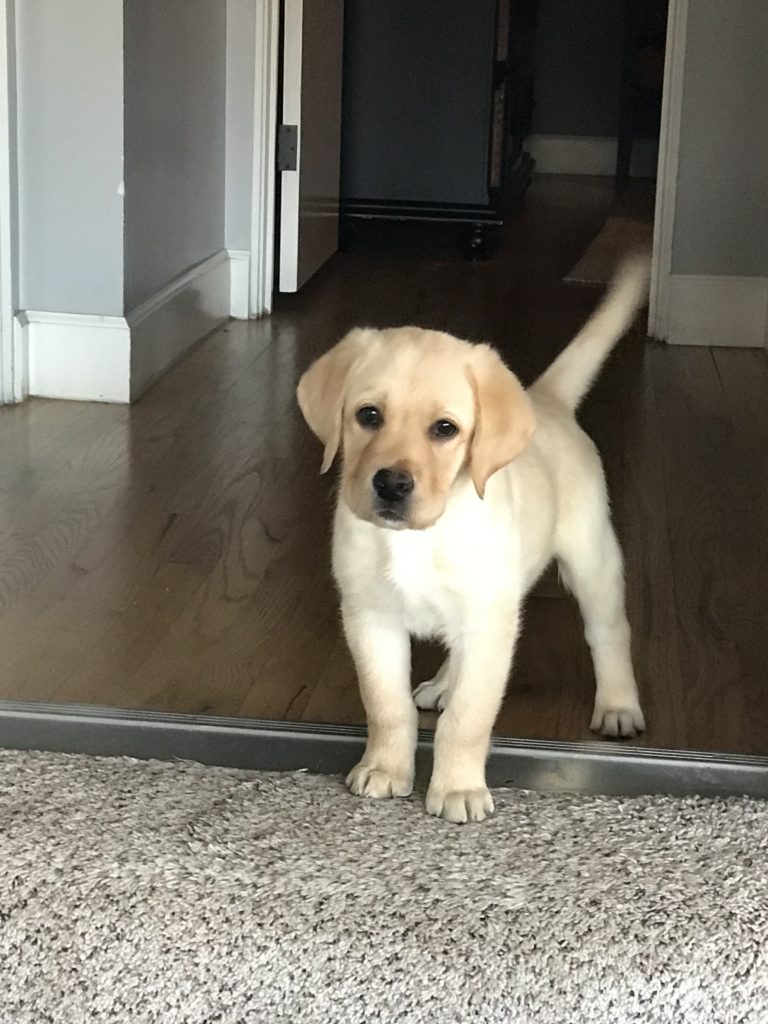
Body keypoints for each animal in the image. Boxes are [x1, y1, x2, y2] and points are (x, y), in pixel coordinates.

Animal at [299, 258, 651, 823]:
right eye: (368, 416)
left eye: (445, 429)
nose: (391, 484)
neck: (420, 538)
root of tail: (545, 399)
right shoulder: (370, 617)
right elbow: (386, 704)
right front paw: (384, 768)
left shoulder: (489, 621)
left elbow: (469, 716)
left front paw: (458, 788)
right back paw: (441, 684)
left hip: (590, 557)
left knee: (609, 631)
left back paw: (618, 704)